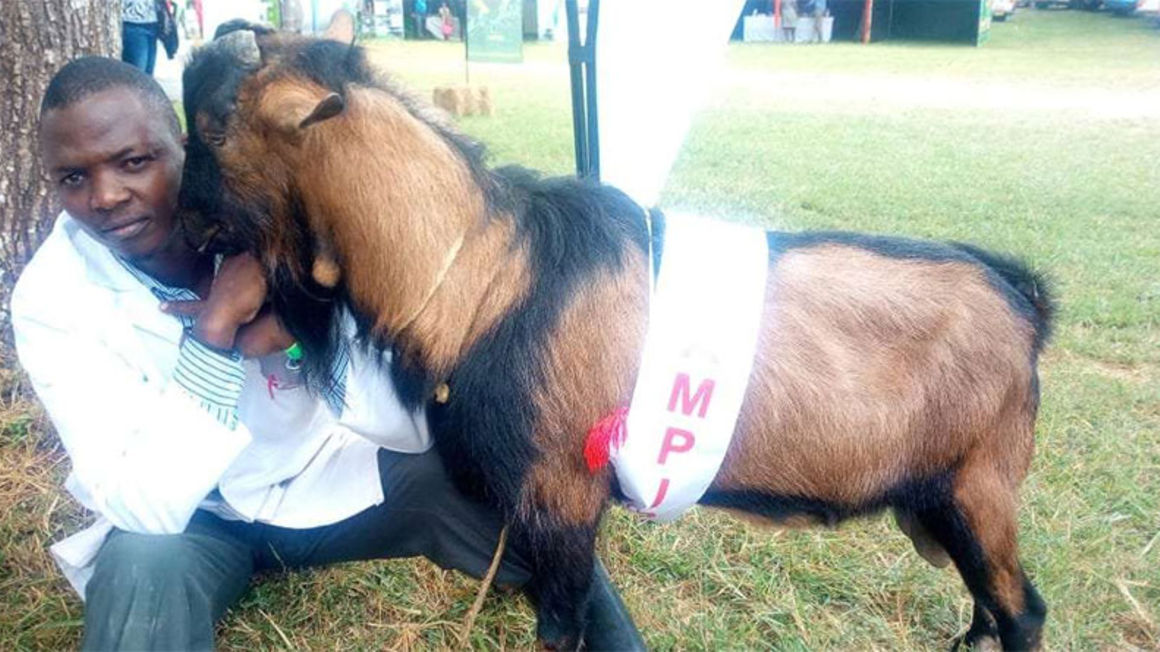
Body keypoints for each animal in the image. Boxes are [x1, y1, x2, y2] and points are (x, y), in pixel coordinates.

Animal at [178, 29, 1053, 650]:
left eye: (212, 130)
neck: (490, 276)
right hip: (941, 498)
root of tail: (1022, 300)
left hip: (978, 486)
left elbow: (561, 625)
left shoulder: (562, 490)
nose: (183, 221)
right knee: (987, 606)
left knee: (1022, 611)